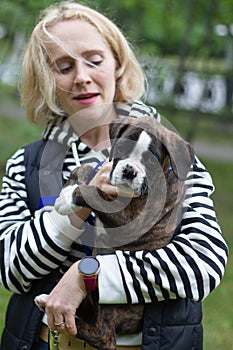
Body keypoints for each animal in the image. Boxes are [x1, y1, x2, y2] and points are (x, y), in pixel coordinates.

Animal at [53, 116, 194, 348]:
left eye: (151, 161)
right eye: (121, 149)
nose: (129, 171)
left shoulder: (131, 220)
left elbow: (94, 192)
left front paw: (68, 197)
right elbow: (87, 168)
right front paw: (69, 186)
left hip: (113, 306)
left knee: (104, 335)